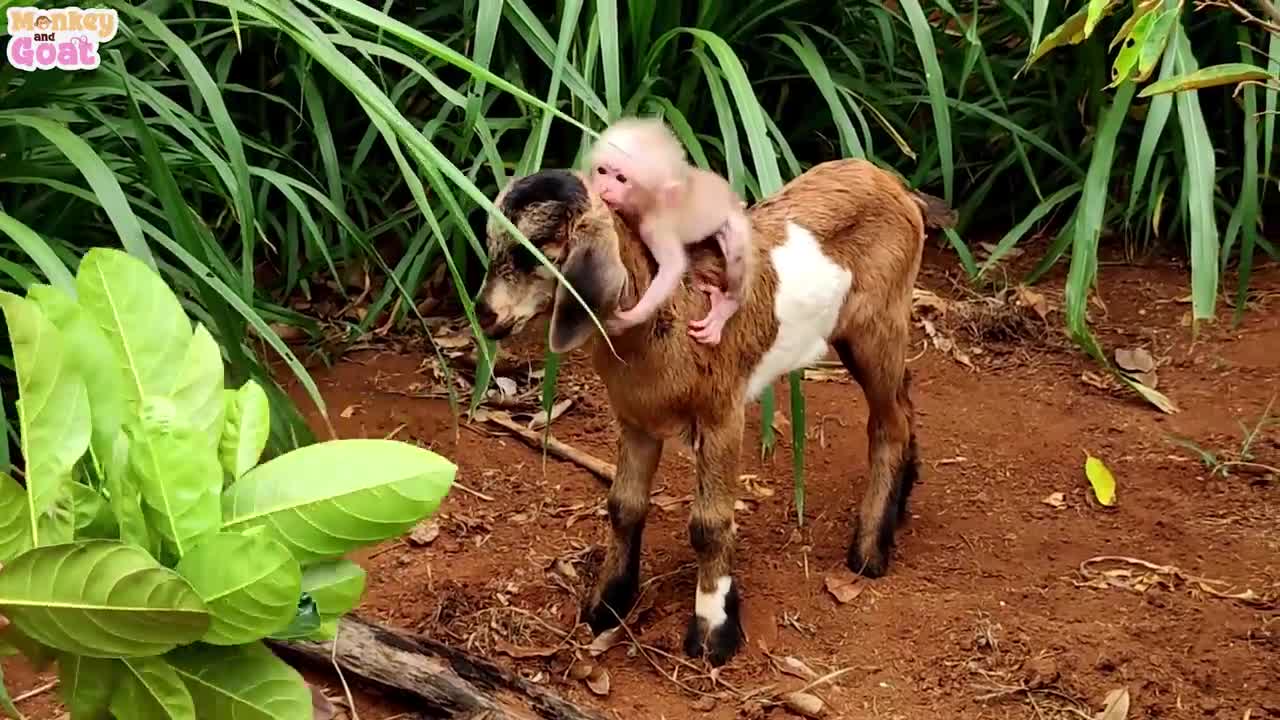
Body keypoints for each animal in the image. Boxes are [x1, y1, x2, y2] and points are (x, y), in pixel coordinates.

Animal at [476, 159, 957, 666]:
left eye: (532, 251)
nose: (484, 315)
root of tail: (892, 183)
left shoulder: (722, 415)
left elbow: (708, 524)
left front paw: (712, 632)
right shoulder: (636, 420)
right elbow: (623, 506)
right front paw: (607, 603)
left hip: (877, 324)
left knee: (888, 422)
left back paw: (868, 552)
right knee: (903, 398)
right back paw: (898, 504)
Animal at [586, 117, 752, 345]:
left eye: (621, 178)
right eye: (602, 171)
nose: (604, 188)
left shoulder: (653, 226)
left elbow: (673, 266)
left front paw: (630, 318)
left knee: (736, 250)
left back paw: (727, 306)